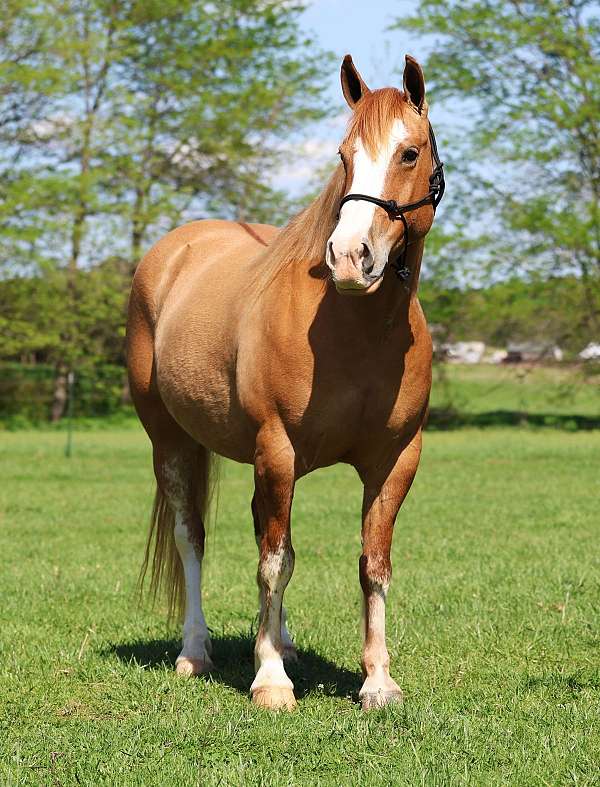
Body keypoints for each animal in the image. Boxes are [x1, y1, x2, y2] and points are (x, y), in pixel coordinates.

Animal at [126, 54, 444, 711]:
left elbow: (371, 564)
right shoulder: (276, 447)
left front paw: (377, 681)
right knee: (192, 538)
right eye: (344, 155)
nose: (350, 257)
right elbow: (275, 562)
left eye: (409, 153)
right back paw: (195, 651)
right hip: (171, 443)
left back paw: (282, 640)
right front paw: (270, 680)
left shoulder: (394, 460)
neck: (355, 329)